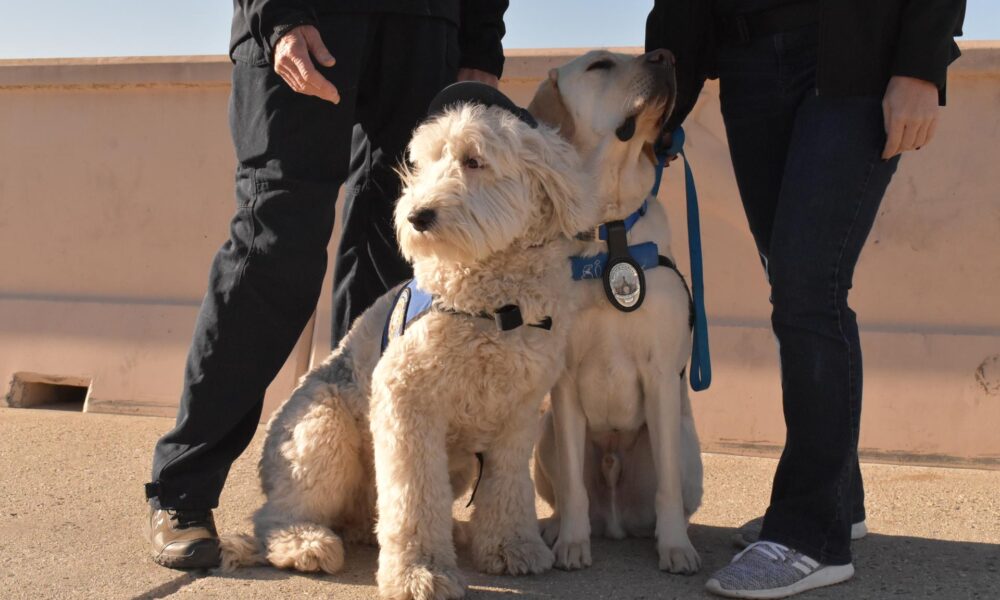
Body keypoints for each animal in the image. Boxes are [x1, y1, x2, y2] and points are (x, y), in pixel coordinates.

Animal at [220, 86, 596, 596]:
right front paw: (421, 572)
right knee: (278, 512)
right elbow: (415, 496)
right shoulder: (407, 402)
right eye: (426, 163)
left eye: (473, 160)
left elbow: (508, 488)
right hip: (321, 430)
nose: (417, 215)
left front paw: (511, 547)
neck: (493, 309)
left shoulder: (518, 413)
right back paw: (304, 543)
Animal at [532, 49, 704, 576]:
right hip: (545, 436)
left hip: (688, 453)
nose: (666, 56)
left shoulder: (661, 375)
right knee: (569, 492)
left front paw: (676, 548)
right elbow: (572, 486)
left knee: (672, 492)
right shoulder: (565, 382)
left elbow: (666, 489)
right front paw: (571, 543)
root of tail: (616, 520)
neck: (608, 231)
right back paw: (555, 528)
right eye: (600, 65)